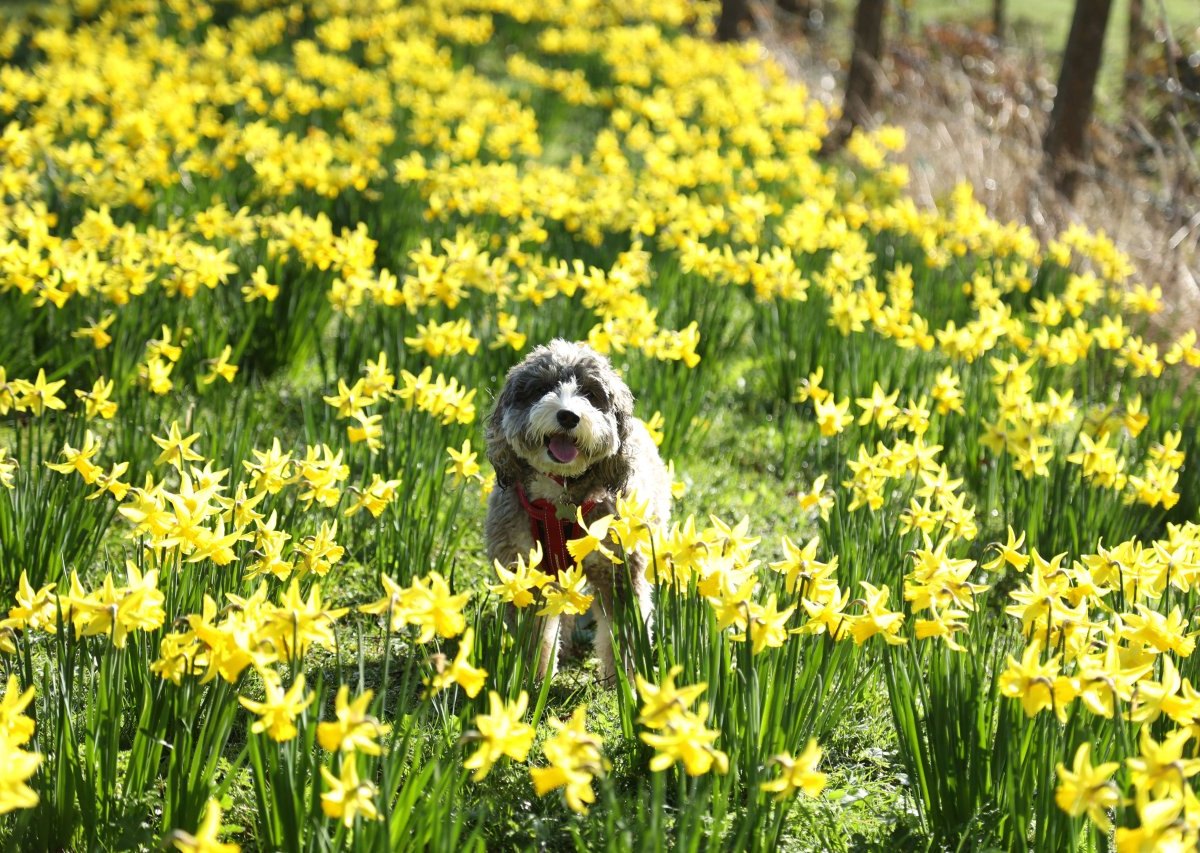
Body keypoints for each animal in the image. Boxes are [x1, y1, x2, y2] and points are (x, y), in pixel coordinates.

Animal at [484, 335, 672, 686]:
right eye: (542, 388)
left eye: (590, 393)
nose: (569, 416)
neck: (562, 496)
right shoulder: (524, 572)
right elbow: (535, 634)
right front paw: (532, 678)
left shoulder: (620, 574)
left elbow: (623, 635)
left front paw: (625, 684)